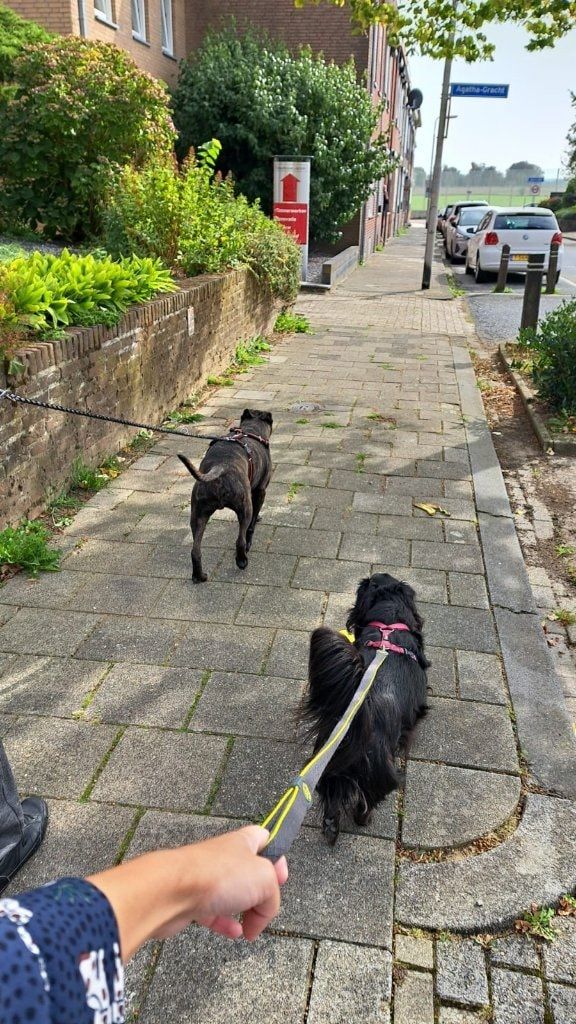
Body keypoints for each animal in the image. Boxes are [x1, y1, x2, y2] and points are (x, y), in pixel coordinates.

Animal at [178, 409, 273, 583]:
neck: (250, 431)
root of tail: (220, 467)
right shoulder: (260, 491)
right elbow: (252, 524)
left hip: (198, 514)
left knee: (195, 550)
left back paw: (199, 576)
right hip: (244, 508)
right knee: (240, 540)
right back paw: (242, 561)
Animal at [301, 573, 429, 844]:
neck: (388, 626)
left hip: (328, 767)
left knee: (332, 801)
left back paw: (331, 826)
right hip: (381, 775)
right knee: (365, 801)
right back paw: (364, 819)